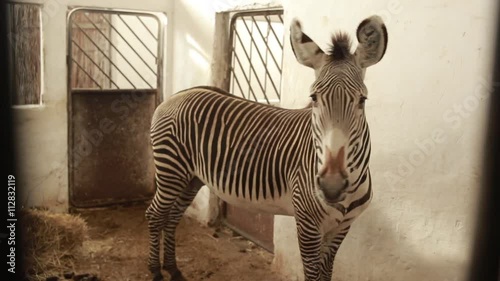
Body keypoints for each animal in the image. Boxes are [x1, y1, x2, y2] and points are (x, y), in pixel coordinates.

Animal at [145, 14, 386, 280]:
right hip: (171, 169)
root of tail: (178, 95)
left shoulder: (342, 227)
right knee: (155, 215)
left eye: (362, 100)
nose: (331, 186)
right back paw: (156, 270)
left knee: (172, 216)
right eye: (313, 98)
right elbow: (313, 274)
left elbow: (327, 272)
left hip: (192, 177)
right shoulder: (308, 223)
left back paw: (173, 269)